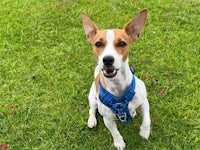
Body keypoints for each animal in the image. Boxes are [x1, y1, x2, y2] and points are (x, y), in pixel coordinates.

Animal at [81, 8, 150, 149]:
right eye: (98, 44)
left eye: (122, 43)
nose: (107, 59)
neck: (117, 85)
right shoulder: (107, 119)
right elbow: (115, 132)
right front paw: (119, 142)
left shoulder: (144, 101)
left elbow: (147, 119)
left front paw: (145, 132)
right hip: (92, 98)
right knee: (92, 109)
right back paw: (92, 120)